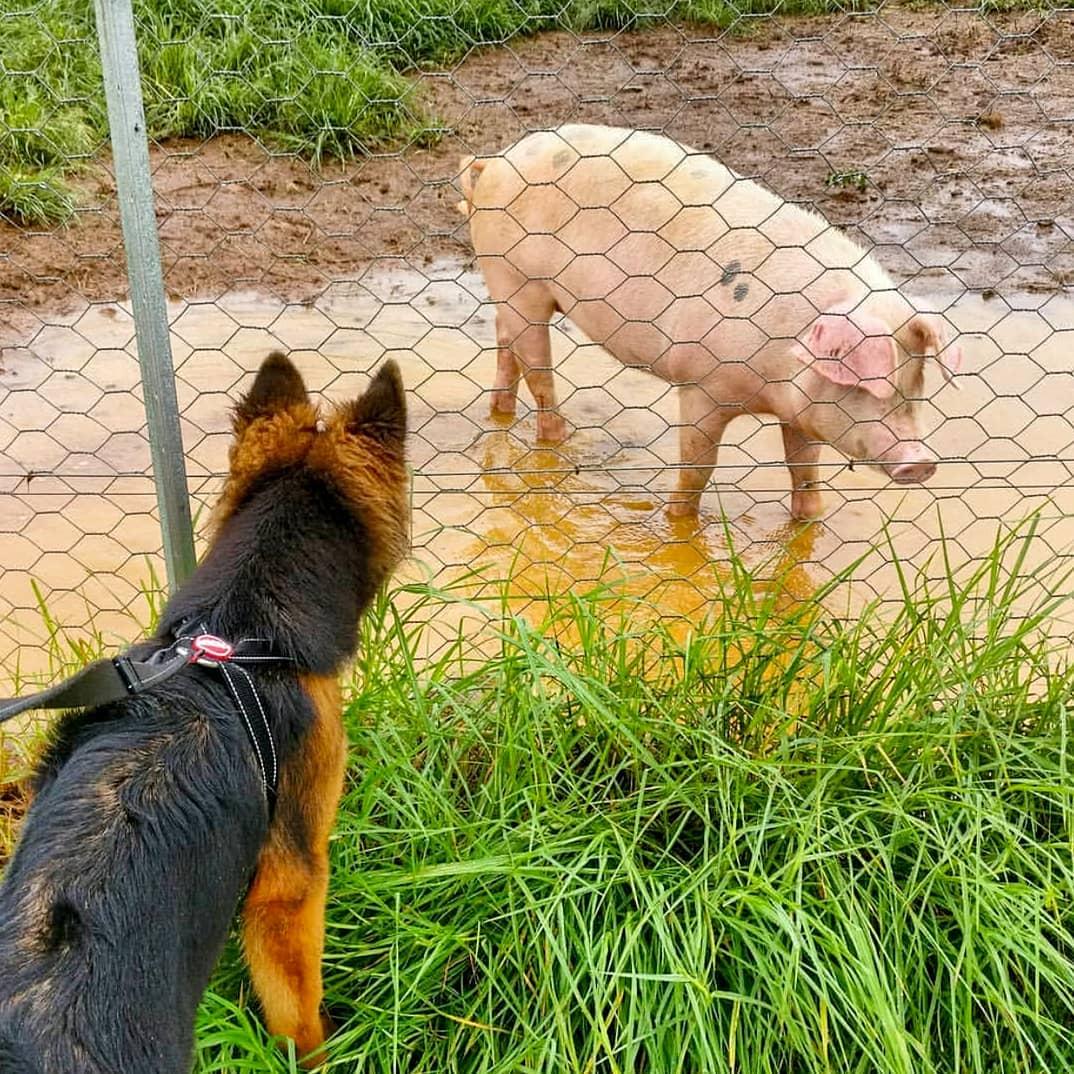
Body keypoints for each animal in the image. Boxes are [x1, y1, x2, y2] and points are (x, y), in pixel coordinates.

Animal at [457, 125, 962, 519]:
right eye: (865, 383)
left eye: (916, 381)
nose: (921, 460)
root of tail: (495, 162)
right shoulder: (701, 384)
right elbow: (699, 467)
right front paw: (677, 524)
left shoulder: (798, 411)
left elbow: (804, 471)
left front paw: (809, 524)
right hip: (518, 281)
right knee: (538, 372)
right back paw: (559, 442)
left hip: (511, 290)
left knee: (506, 343)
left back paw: (501, 412)